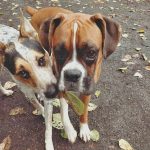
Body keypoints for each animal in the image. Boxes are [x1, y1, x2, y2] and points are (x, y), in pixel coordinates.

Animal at [0, 11, 58, 150]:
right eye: (23, 73)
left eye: (41, 60)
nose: (53, 92)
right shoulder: (27, 91)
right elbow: (36, 103)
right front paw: (41, 110)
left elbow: (48, 126)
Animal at [26, 5, 121, 144]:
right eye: (59, 51)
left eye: (91, 52)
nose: (72, 75)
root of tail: (38, 11)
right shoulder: (60, 85)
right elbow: (64, 110)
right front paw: (70, 130)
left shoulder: (87, 87)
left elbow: (84, 110)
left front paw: (84, 128)